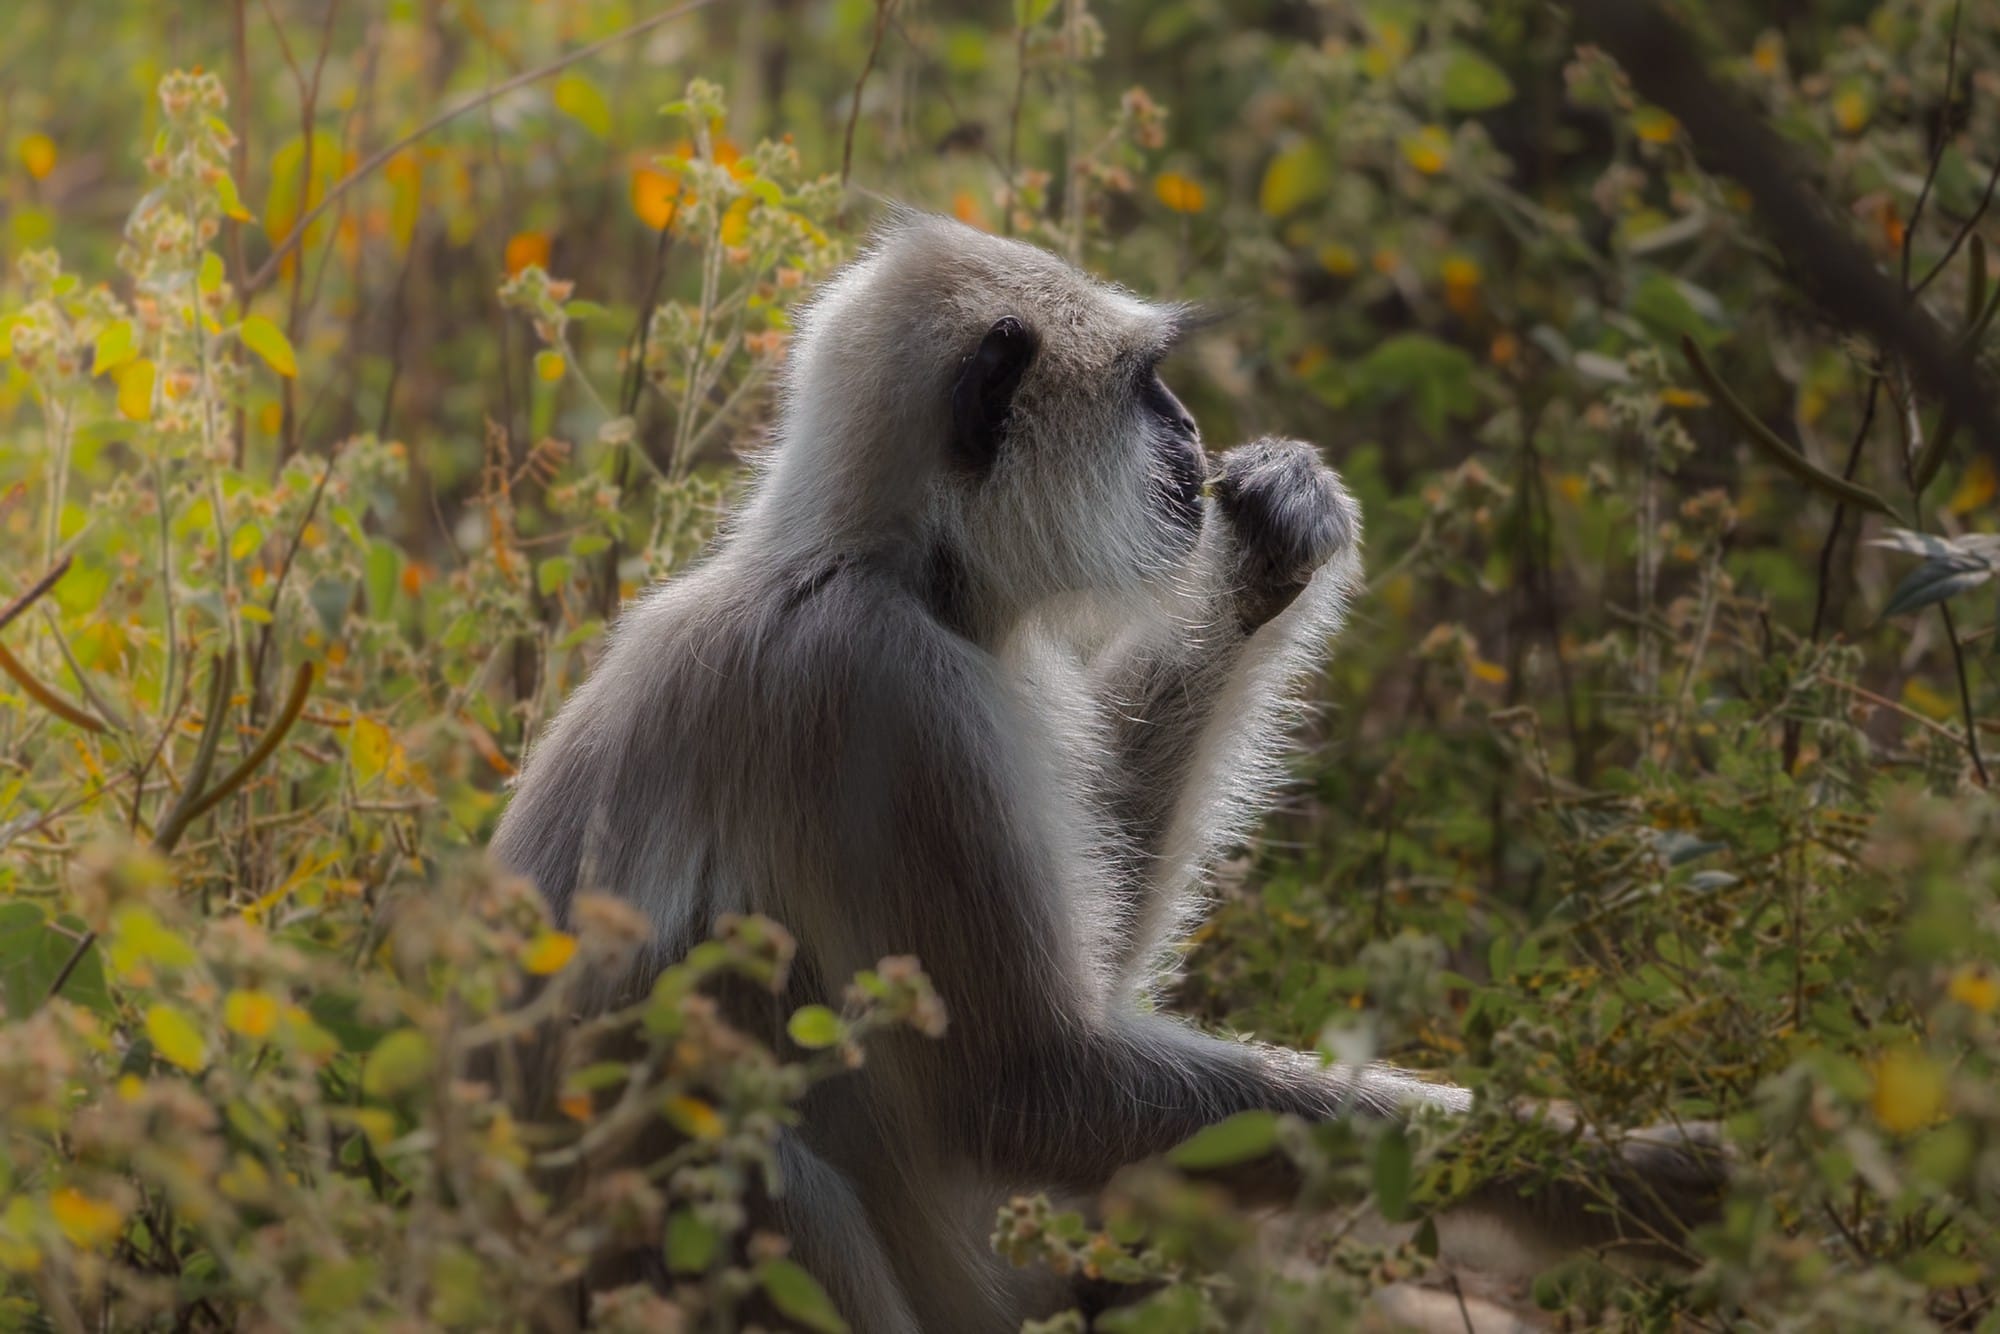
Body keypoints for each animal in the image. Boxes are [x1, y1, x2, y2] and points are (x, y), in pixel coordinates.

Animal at [489, 211, 1723, 1332]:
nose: (1186, 426)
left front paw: (1265, 551)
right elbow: (1032, 1088)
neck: (868, 560)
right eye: (1144, 388)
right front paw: (1612, 1177)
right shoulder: (891, 692)